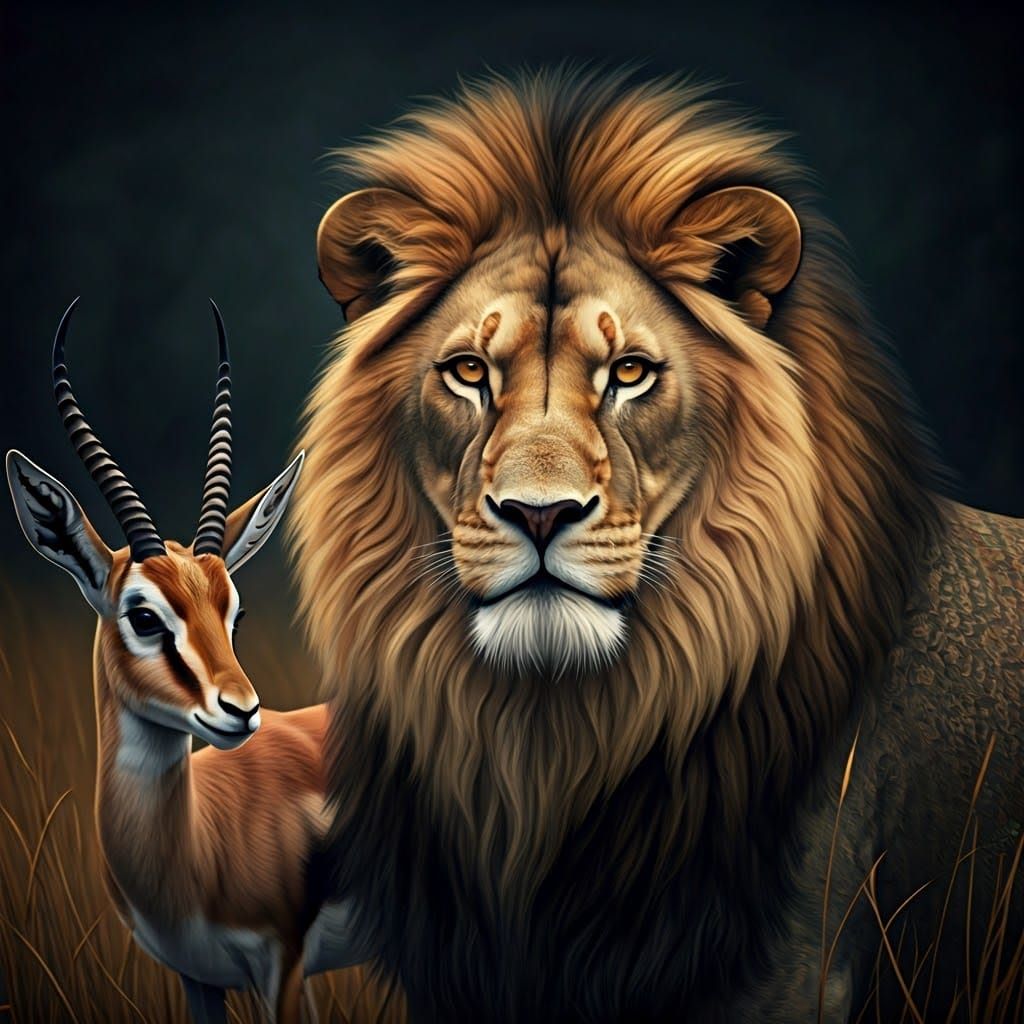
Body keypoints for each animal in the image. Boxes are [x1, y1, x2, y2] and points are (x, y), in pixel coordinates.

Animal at [6, 301, 369, 1023]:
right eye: (144, 616)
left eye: (235, 613)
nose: (241, 710)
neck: (199, 847)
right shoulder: (194, 977)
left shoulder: (284, 965)